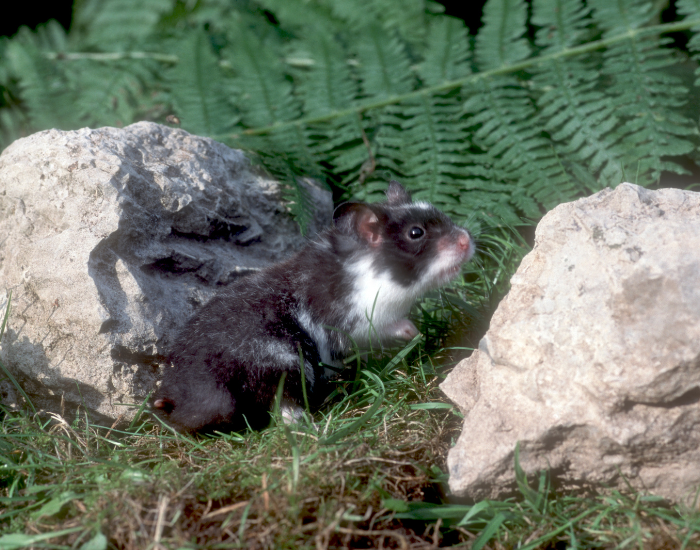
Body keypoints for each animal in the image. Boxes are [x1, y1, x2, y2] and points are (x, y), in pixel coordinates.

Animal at [152, 181, 474, 433]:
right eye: (416, 233)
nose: (467, 240)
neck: (371, 271)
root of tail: (195, 393)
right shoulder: (357, 323)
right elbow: (391, 328)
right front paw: (414, 332)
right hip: (287, 362)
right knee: (283, 408)